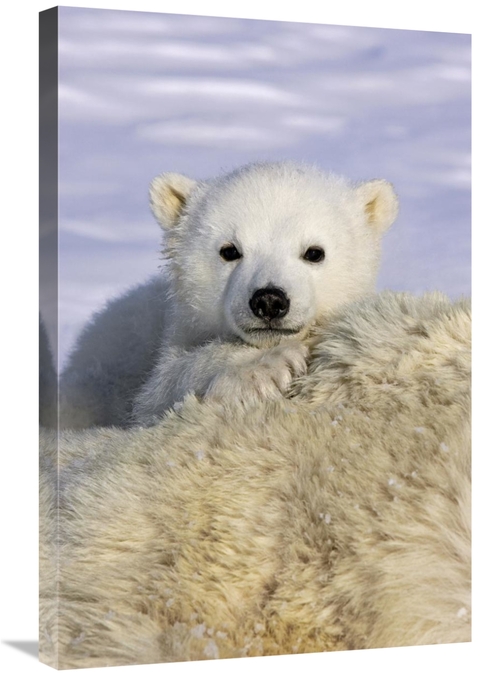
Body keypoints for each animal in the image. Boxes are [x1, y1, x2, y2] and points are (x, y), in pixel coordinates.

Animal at [60, 161, 398, 429]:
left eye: (314, 252)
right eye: (230, 250)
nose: (269, 301)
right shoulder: (172, 341)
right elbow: (161, 389)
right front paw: (267, 367)